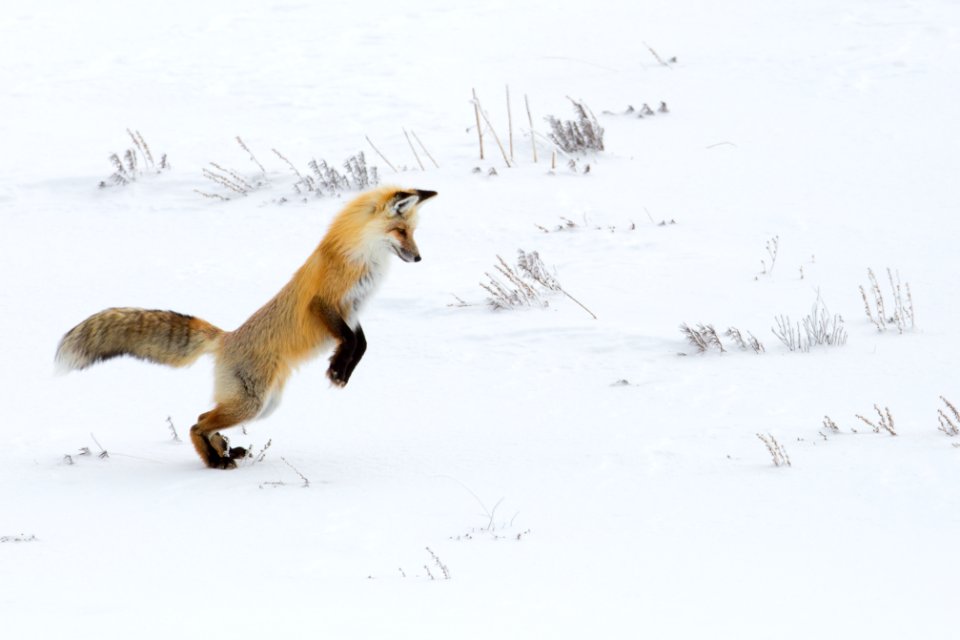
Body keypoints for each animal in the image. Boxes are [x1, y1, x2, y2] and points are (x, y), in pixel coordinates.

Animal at [56, 188, 438, 468]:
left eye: (413, 232)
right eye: (401, 231)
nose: (419, 258)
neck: (361, 259)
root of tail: (226, 338)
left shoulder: (353, 312)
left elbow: (361, 344)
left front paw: (340, 370)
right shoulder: (325, 304)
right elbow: (349, 341)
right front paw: (336, 370)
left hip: (264, 404)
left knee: (203, 417)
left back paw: (224, 451)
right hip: (252, 403)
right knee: (197, 422)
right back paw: (216, 460)